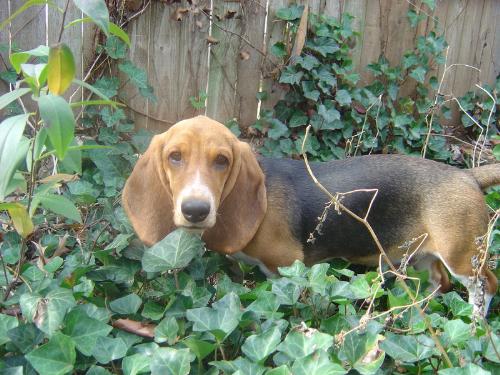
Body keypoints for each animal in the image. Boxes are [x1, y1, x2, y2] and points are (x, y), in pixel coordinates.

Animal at [123, 116, 498, 316]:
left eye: (222, 161)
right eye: (174, 157)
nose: (195, 210)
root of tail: (466, 175)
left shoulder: (289, 268)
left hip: (462, 254)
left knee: (486, 285)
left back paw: (475, 324)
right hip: (423, 255)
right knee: (439, 283)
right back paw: (412, 311)